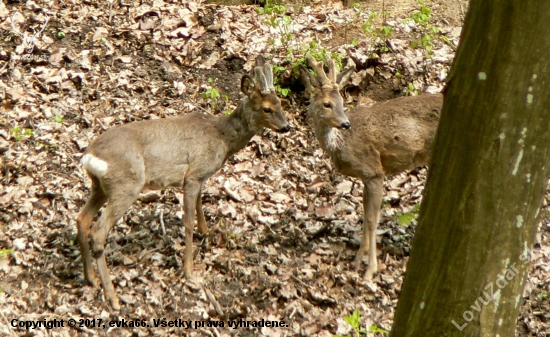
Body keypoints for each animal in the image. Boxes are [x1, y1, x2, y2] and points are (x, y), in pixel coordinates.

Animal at [78, 55, 294, 310]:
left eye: (280, 103)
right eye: (266, 108)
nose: (286, 127)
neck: (222, 137)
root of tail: (90, 156)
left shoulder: (199, 176)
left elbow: (201, 205)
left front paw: (207, 232)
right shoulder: (192, 176)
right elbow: (188, 221)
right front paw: (190, 270)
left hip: (100, 186)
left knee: (82, 220)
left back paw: (90, 278)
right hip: (126, 185)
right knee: (97, 232)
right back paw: (112, 296)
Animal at [300, 57, 446, 278]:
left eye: (342, 102)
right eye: (327, 104)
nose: (345, 124)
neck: (341, 143)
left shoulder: (374, 171)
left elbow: (372, 219)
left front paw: (370, 270)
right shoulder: (365, 177)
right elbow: (365, 214)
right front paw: (358, 258)